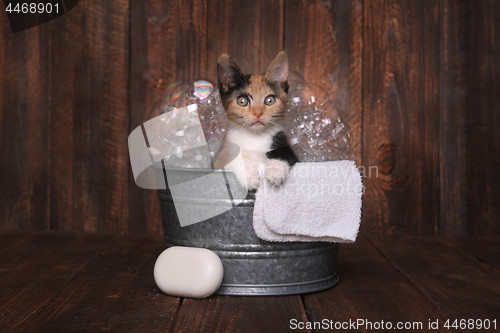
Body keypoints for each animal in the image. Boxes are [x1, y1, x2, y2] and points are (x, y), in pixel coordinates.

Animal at [214, 50, 298, 188]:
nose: (258, 113)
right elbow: (231, 158)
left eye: (270, 100)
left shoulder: (287, 147)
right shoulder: (219, 158)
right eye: (242, 101)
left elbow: (284, 153)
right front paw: (249, 176)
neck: (255, 137)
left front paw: (275, 169)